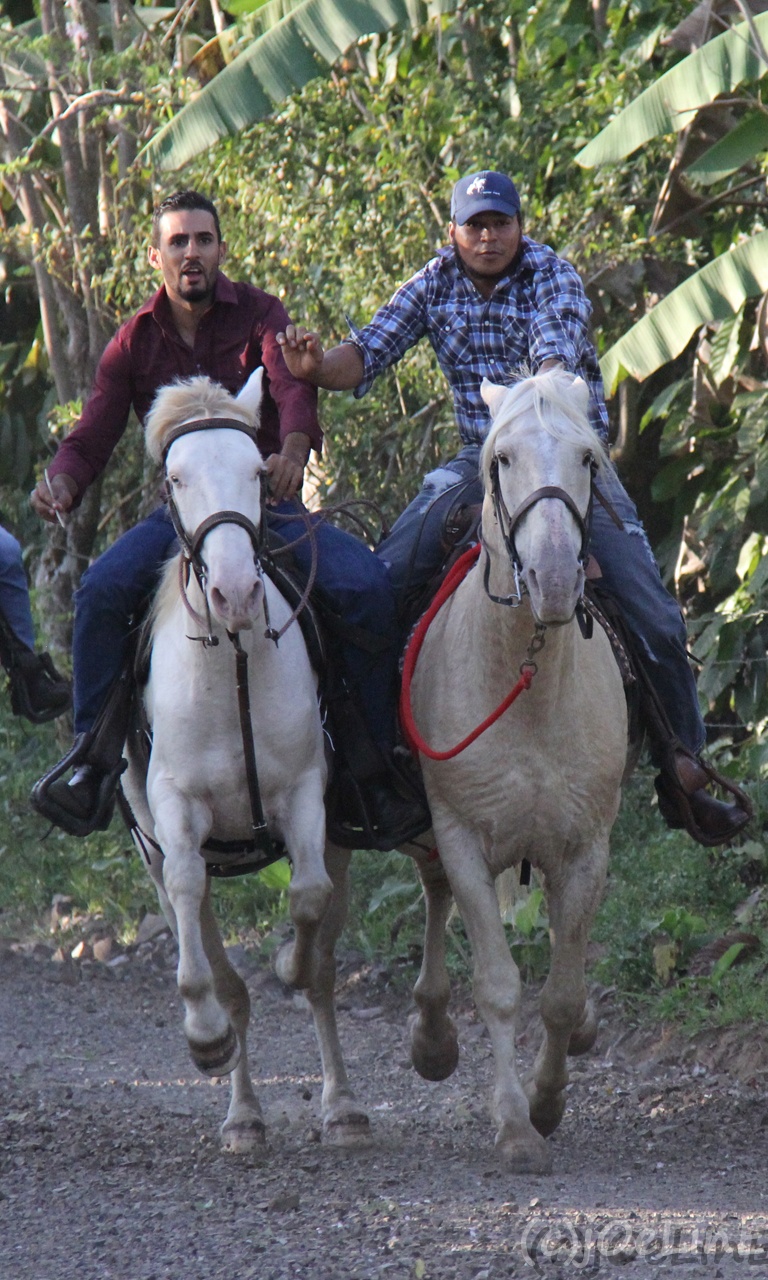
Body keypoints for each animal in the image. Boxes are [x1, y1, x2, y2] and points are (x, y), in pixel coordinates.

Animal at [121, 371, 369, 1153]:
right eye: (174, 478)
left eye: (259, 472)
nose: (235, 593)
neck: (229, 661)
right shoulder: (173, 810)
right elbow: (190, 897)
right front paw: (205, 1037)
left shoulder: (306, 794)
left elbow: (310, 901)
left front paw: (289, 961)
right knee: (210, 945)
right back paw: (243, 1113)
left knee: (322, 965)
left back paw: (342, 1104)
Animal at [402, 369, 630, 1174]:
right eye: (502, 459)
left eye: (588, 459)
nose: (556, 577)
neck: (525, 676)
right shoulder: (463, 835)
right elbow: (498, 985)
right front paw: (513, 1125)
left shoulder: (587, 848)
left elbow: (559, 992)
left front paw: (548, 1099)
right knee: (434, 895)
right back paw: (433, 1039)